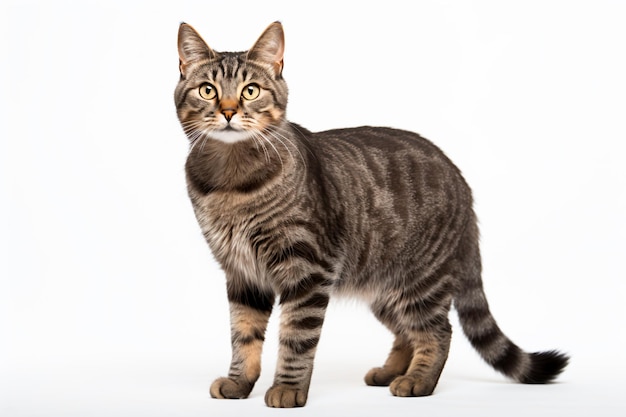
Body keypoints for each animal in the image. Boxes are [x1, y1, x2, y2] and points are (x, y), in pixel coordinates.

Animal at [173, 22, 568, 406]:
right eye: (207, 90)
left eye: (251, 91)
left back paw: (418, 380)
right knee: (407, 332)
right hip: (385, 289)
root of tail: (460, 178)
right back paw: (391, 371)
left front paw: (288, 388)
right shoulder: (242, 274)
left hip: (421, 280)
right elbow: (244, 336)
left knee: (438, 331)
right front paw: (239, 382)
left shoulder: (309, 270)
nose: (227, 111)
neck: (230, 182)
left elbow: (296, 336)